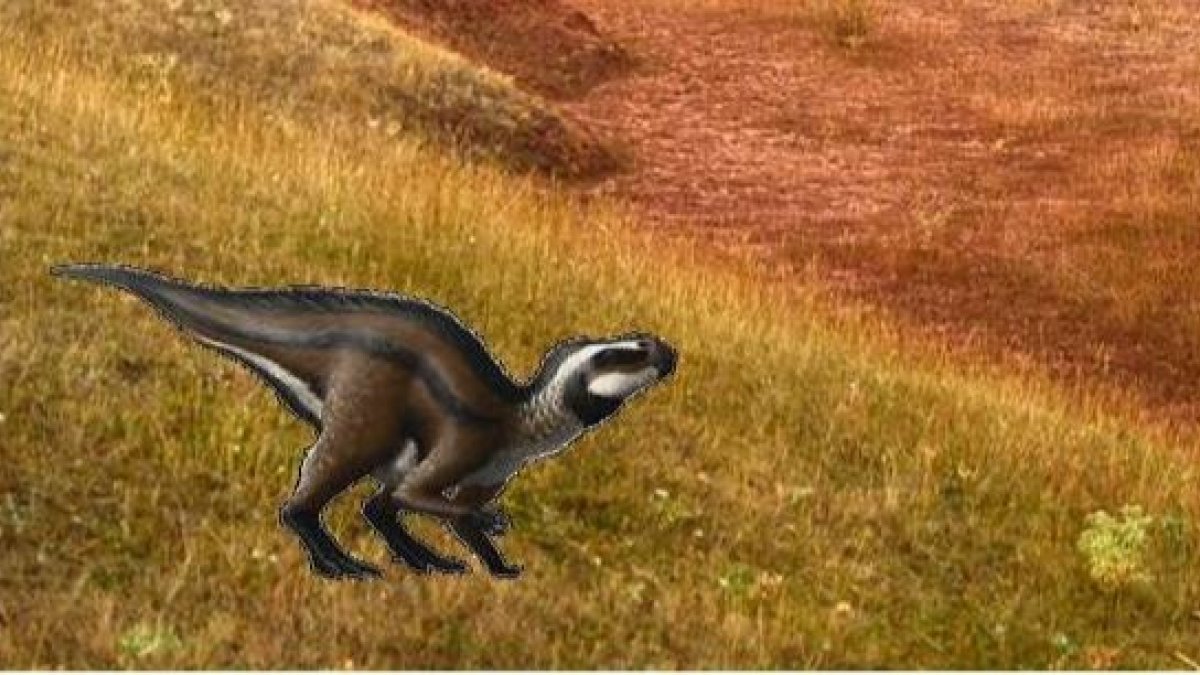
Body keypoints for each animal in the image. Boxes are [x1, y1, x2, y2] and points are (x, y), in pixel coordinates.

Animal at [52, 263, 677, 580]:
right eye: (627, 351)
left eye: (645, 342)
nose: (668, 350)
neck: (523, 425)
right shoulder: (465, 443)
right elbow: (427, 499)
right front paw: (488, 525)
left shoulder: (490, 470)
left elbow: (432, 512)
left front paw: (495, 562)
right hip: (367, 409)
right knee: (308, 503)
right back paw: (343, 564)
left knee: (372, 505)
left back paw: (422, 561)